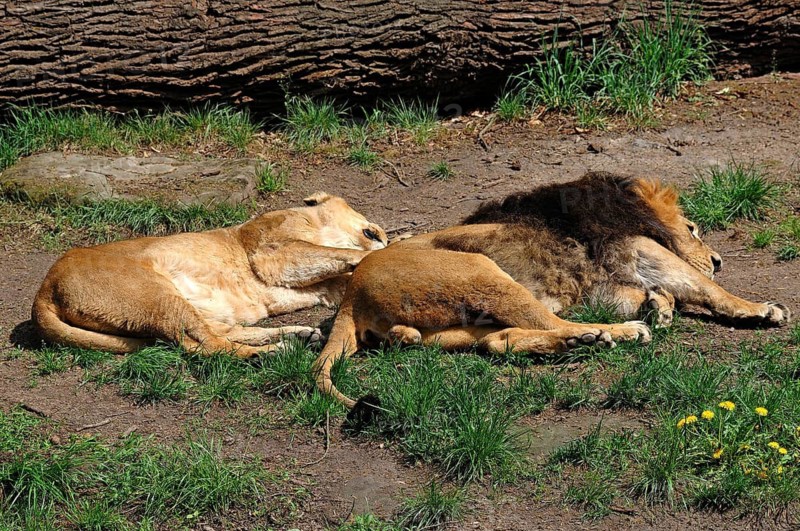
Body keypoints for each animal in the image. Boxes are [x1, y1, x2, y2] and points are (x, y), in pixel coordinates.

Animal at [32, 192, 388, 358]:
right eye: (371, 229)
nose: (386, 235)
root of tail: (45, 288)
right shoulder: (271, 252)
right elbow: (338, 253)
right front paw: (380, 252)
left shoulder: (323, 285)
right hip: (156, 295)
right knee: (206, 344)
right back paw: (272, 353)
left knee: (220, 334)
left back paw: (299, 336)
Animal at [313, 173, 791, 408]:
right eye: (692, 228)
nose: (719, 259)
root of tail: (351, 295)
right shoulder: (635, 246)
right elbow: (703, 286)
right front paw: (758, 308)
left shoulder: (605, 281)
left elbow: (658, 293)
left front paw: (660, 304)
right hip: (481, 271)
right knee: (550, 322)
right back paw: (609, 335)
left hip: (455, 322)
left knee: (497, 342)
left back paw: (581, 341)